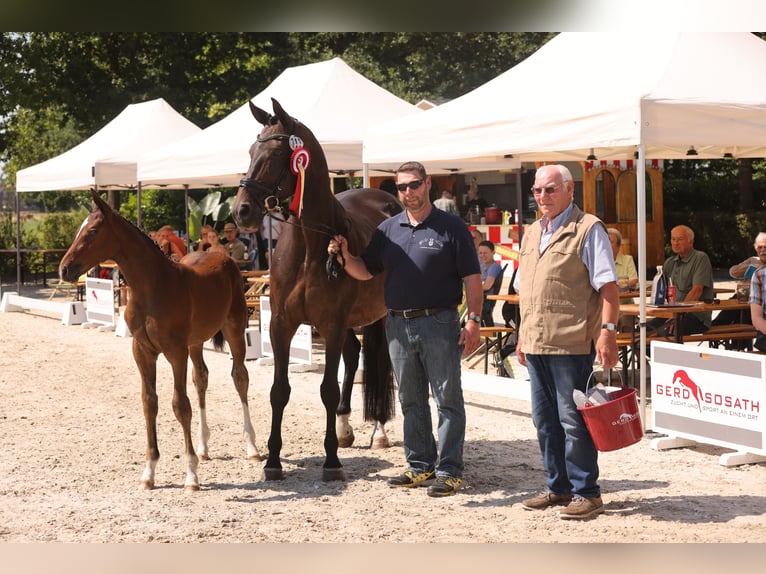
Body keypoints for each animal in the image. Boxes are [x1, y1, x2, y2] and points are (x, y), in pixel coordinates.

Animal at [57, 192, 260, 490]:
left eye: (92, 231)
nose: (65, 269)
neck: (153, 288)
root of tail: (223, 257)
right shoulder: (143, 351)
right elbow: (149, 403)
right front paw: (149, 472)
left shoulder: (175, 352)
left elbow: (180, 405)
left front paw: (191, 475)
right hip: (195, 343)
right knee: (201, 378)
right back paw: (203, 447)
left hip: (234, 329)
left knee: (240, 378)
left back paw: (252, 448)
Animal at [232, 98, 402, 482]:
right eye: (250, 151)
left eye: (276, 153)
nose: (241, 211)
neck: (311, 244)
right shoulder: (282, 324)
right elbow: (279, 391)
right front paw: (273, 460)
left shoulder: (332, 324)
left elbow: (327, 388)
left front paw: (331, 461)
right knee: (354, 355)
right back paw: (344, 428)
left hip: (381, 317)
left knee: (379, 363)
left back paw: (378, 431)